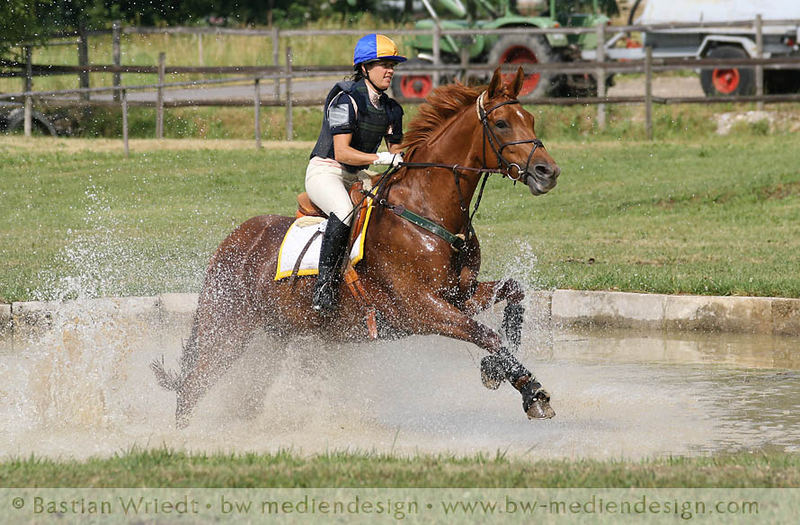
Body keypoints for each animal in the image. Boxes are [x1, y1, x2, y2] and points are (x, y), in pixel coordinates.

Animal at [153, 67, 560, 426]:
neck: (428, 210)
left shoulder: (460, 294)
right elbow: (485, 334)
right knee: (193, 383)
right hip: (227, 328)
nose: (548, 172)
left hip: (271, 335)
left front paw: (498, 368)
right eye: (502, 123)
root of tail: (233, 240)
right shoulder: (421, 308)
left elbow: (513, 293)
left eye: (530, 118)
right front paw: (530, 390)